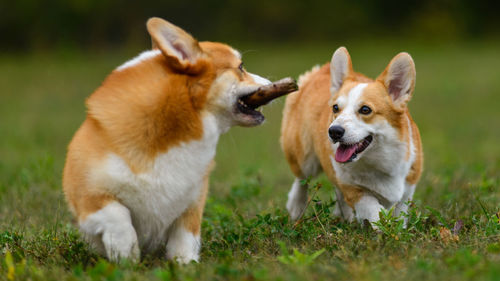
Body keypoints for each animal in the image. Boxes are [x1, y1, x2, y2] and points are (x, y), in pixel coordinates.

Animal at [63, 18, 278, 262]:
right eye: (241, 67)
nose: (271, 83)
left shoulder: (192, 201)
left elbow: (186, 236)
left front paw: (185, 263)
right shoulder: (87, 197)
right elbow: (118, 215)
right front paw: (126, 253)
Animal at [282, 46, 422, 228]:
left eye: (365, 110)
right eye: (335, 108)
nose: (333, 131)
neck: (378, 162)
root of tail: (321, 70)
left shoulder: (407, 189)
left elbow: (399, 213)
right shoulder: (352, 188)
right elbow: (373, 210)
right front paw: (381, 225)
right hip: (305, 158)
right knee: (301, 179)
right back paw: (296, 207)